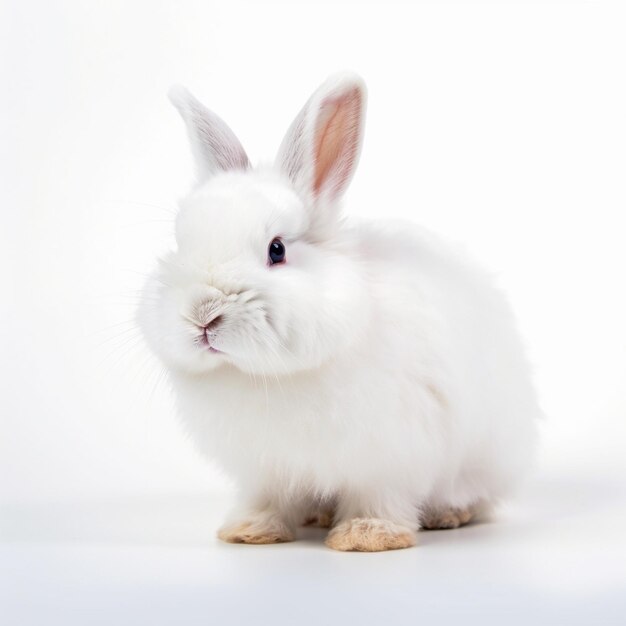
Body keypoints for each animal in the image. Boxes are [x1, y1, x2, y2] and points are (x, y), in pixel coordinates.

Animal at [139, 73, 540, 548]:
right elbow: (267, 499)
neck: (265, 376)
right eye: (181, 243)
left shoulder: (390, 455)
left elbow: (379, 498)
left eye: (277, 249)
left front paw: (367, 536)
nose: (203, 315)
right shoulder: (265, 468)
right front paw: (250, 531)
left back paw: (447, 515)